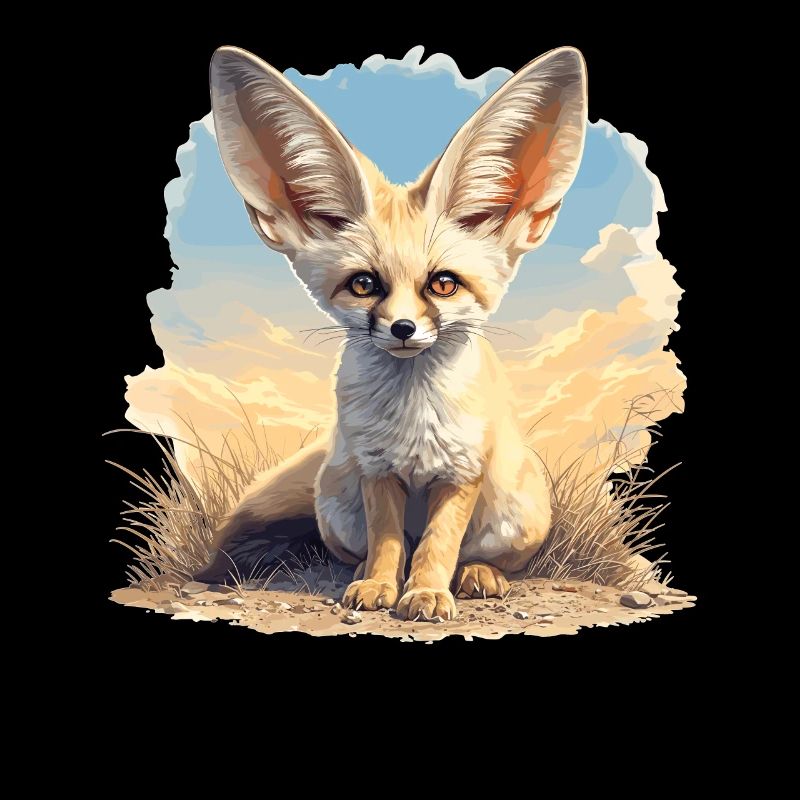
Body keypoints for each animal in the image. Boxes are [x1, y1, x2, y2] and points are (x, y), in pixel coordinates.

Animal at [195, 45, 588, 621]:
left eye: (443, 283)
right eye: (364, 284)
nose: (403, 328)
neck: (413, 418)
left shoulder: (461, 472)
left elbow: (439, 544)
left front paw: (426, 592)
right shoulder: (376, 470)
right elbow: (388, 541)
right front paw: (380, 585)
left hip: (518, 513)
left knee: (480, 554)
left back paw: (478, 574)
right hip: (335, 501)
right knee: (372, 544)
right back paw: (364, 571)